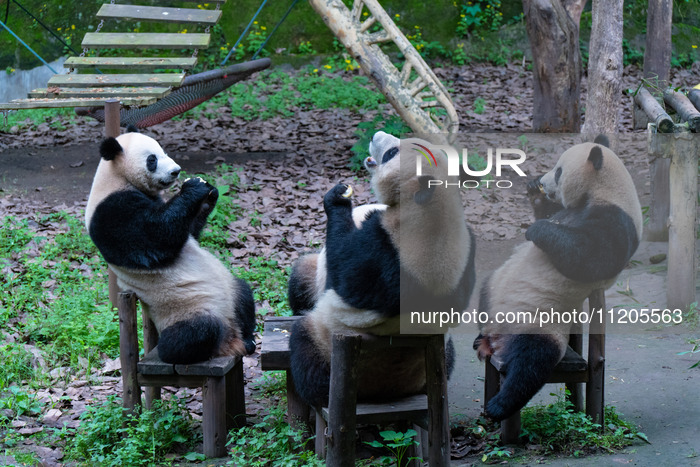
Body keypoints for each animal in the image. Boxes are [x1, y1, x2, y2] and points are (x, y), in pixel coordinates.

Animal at [85, 130, 256, 364]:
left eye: (163, 151)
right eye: (152, 159)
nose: (176, 171)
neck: (116, 177)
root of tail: (231, 340)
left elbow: (187, 232)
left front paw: (209, 192)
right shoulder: (111, 212)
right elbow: (155, 238)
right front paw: (194, 188)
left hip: (230, 291)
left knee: (244, 292)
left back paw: (249, 340)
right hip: (186, 311)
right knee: (192, 334)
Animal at [288, 131, 477, 407]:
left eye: (391, 153)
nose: (376, 135)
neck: (432, 212)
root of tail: (388, 393)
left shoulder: (385, 253)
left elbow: (344, 271)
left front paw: (338, 199)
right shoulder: (466, 252)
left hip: (327, 341)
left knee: (305, 345)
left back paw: (318, 391)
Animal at [473, 135, 642, 421]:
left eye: (559, 171)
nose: (543, 181)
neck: (607, 190)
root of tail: (498, 339)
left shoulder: (617, 221)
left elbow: (590, 256)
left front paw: (535, 230)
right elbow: (550, 215)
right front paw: (533, 192)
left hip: (539, 321)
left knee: (532, 363)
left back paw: (499, 406)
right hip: (494, 288)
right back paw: (479, 338)